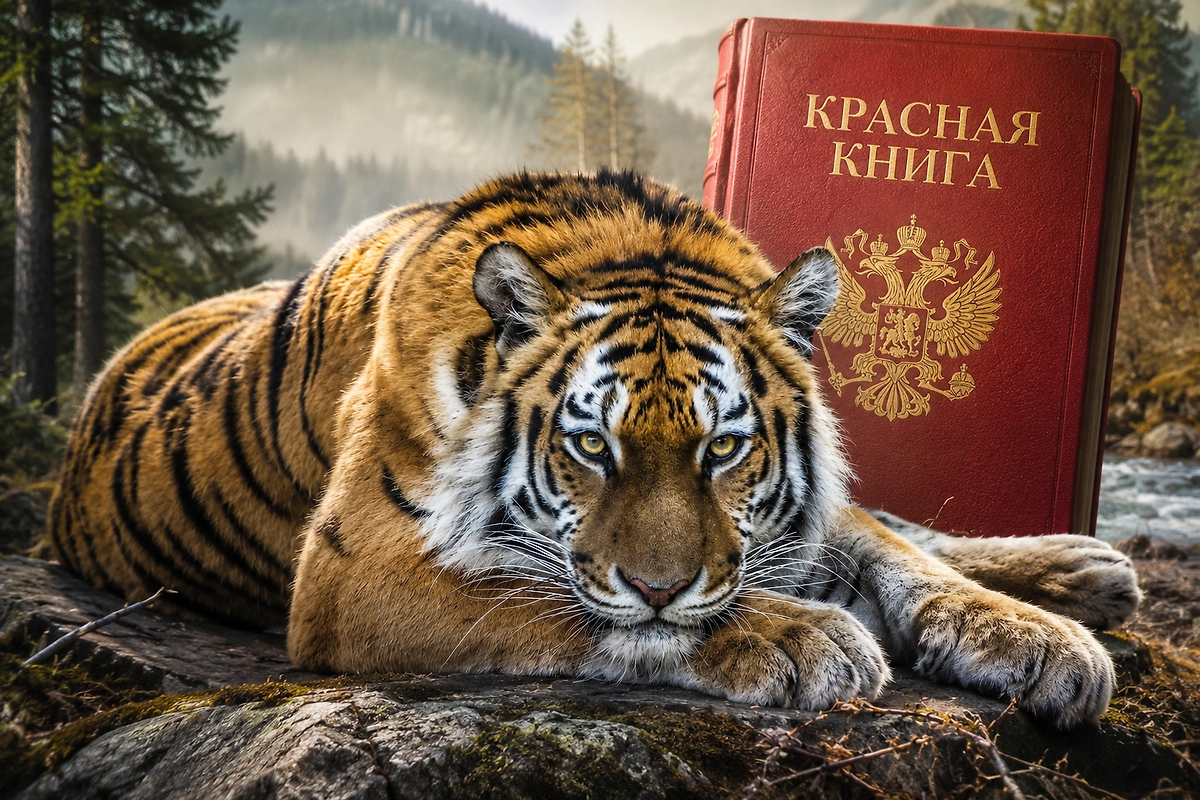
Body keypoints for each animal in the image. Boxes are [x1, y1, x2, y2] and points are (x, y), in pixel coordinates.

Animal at [48, 171, 1141, 728]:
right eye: (589, 444)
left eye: (724, 448)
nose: (660, 580)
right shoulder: (355, 569)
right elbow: (543, 596)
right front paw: (801, 636)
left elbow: (889, 550)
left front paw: (1037, 639)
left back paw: (1085, 572)